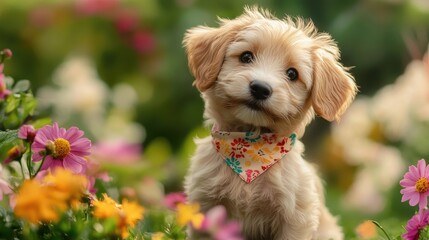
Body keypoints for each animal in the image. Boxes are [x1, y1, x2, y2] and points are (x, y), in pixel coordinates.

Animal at [182, 6, 356, 240]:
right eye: (246, 56)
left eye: (292, 74)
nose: (260, 88)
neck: (250, 148)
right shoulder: (205, 203)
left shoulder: (295, 216)